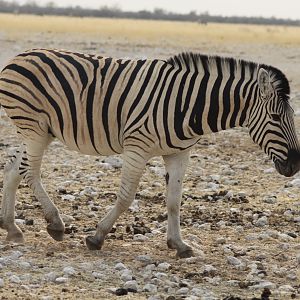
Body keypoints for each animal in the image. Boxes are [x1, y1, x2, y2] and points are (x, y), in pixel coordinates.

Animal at [0, 49, 298, 258]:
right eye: (275, 117)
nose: (295, 165)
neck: (189, 106)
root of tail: (19, 56)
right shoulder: (137, 147)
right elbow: (125, 197)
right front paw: (97, 237)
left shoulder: (179, 154)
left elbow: (174, 201)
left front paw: (179, 244)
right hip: (35, 128)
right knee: (30, 172)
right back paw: (55, 224)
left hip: (37, 131)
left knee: (13, 169)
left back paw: (12, 228)